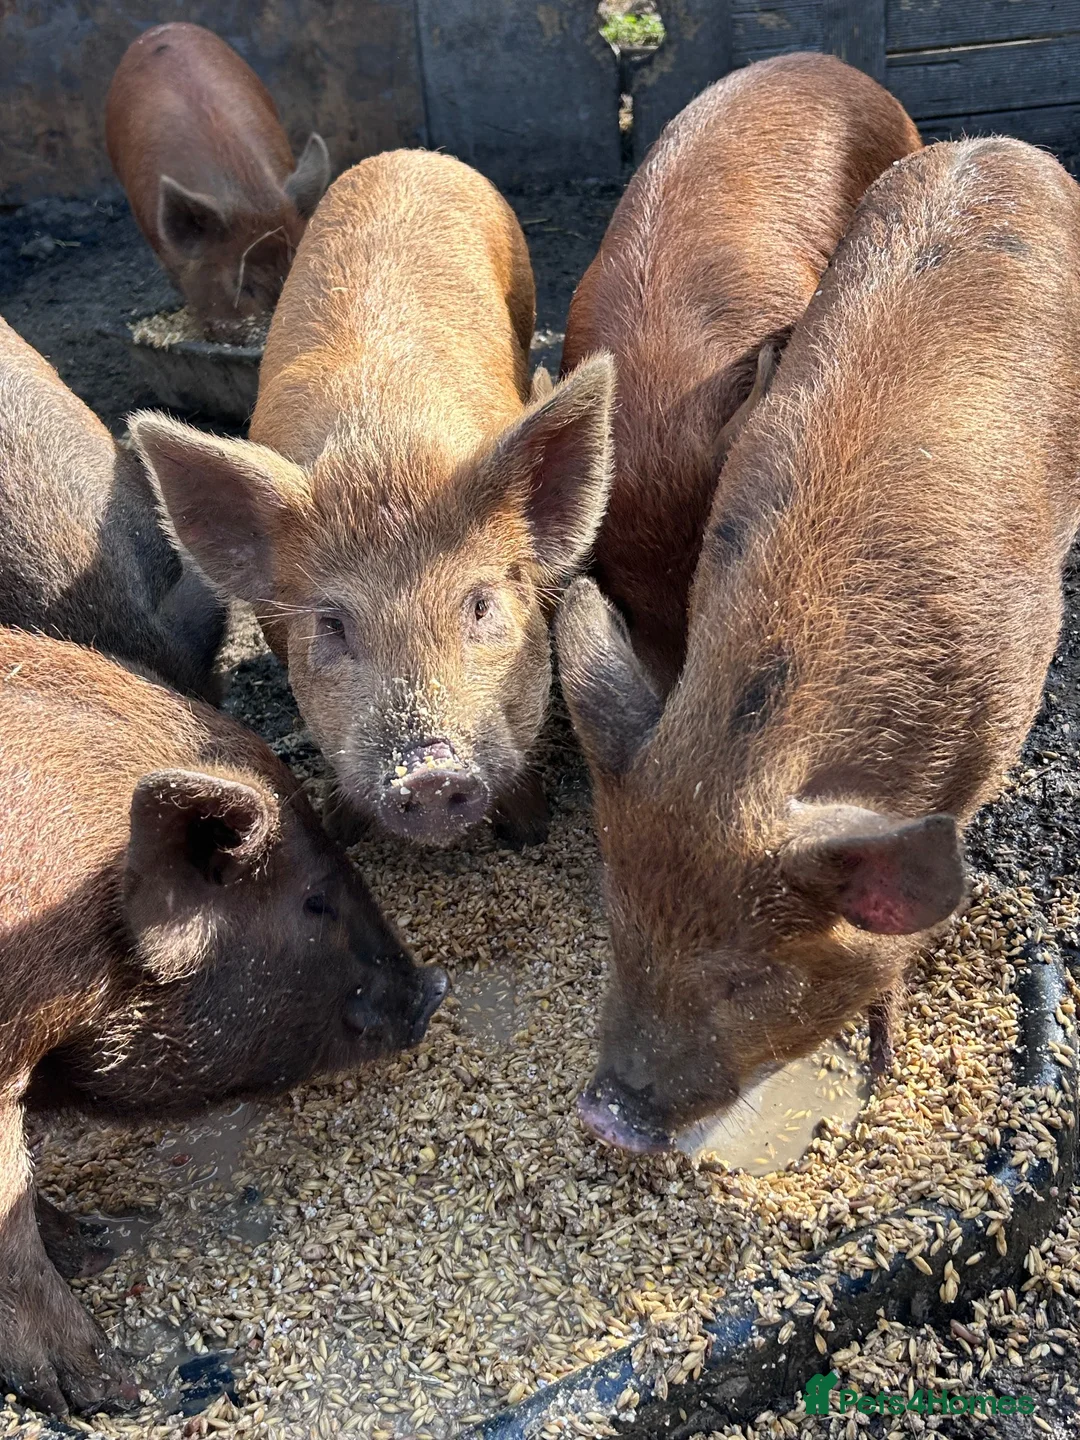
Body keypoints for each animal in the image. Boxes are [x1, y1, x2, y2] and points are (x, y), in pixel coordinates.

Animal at [130, 150, 615, 849]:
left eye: (480, 603)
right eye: (331, 623)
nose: (430, 773)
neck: (385, 449)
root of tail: (407, 156)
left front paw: (529, 831)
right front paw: (342, 828)